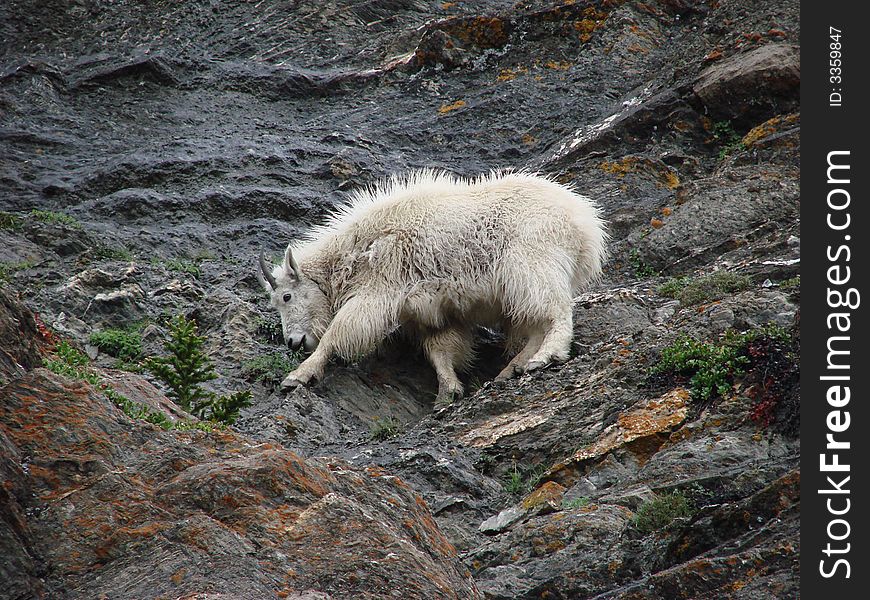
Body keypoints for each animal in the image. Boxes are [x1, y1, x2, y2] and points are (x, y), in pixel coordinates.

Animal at [258, 171, 608, 406]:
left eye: (287, 296)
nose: (293, 342)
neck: (355, 252)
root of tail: (585, 224)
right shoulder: (433, 312)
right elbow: (439, 349)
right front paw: (447, 392)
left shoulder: (380, 291)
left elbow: (337, 333)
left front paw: (298, 375)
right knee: (536, 322)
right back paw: (512, 368)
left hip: (533, 265)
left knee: (556, 312)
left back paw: (546, 356)